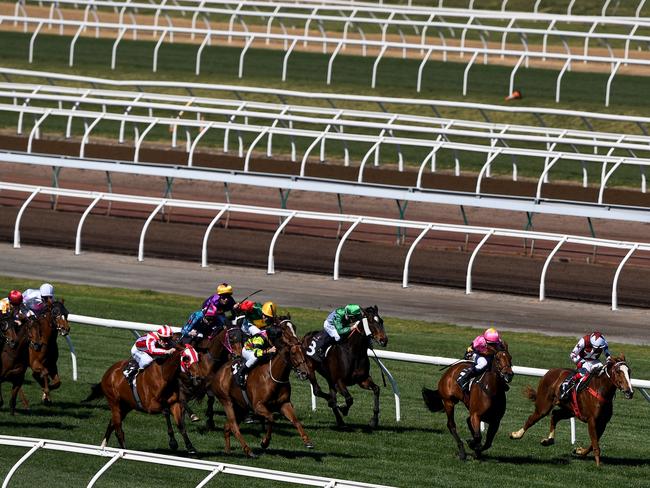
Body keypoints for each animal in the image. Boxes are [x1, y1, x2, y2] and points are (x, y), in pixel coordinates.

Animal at [206, 320, 310, 458]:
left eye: (304, 353)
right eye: (293, 353)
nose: (305, 373)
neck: (273, 376)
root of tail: (219, 372)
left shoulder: (284, 404)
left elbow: (296, 421)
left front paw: (307, 441)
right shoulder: (258, 406)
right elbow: (271, 418)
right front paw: (264, 442)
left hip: (241, 407)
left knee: (227, 426)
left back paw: (228, 451)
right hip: (226, 401)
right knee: (233, 426)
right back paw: (248, 450)